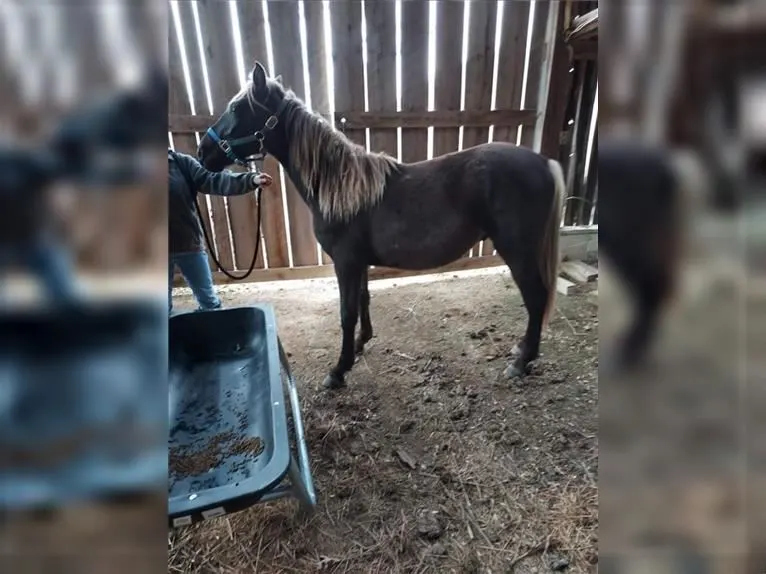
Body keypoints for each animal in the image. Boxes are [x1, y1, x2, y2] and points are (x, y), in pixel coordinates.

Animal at [198, 61, 564, 390]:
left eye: (236, 107)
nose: (203, 151)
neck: (340, 187)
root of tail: (545, 162)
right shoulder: (358, 262)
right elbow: (363, 301)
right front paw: (361, 345)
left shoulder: (346, 262)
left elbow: (346, 312)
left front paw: (338, 370)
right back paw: (522, 351)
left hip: (517, 249)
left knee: (536, 296)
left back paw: (521, 362)